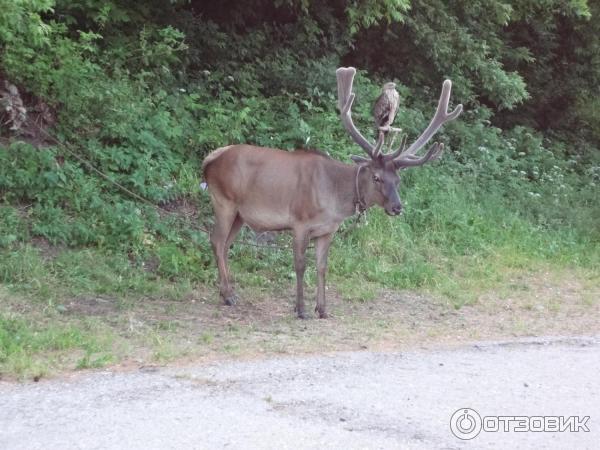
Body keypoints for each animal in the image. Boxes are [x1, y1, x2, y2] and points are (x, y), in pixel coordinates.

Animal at [203, 67, 464, 320]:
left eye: (397, 180)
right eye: (377, 177)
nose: (397, 207)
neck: (335, 201)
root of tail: (209, 160)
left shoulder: (327, 230)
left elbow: (322, 267)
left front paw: (322, 309)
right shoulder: (299, 222)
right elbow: (300, 265)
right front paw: (301, 309)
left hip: (240, 214)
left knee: (225, 245)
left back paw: (227, 292)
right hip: (223, 201)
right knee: (216, 240)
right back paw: (228, 295)